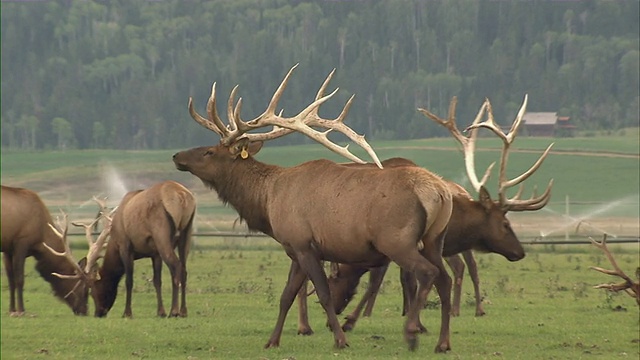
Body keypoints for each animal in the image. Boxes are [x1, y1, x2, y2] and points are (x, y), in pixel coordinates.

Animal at [0, 186, 102, 316]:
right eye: (85, 288)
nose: (85, 311)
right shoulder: (21, 242)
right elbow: (19, 279)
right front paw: (21, 311)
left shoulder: (8, 249)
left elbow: (10, 280)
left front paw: (12, 310)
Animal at [90, 180, 195, 318]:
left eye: (93, 290)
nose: (98, 313)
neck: (115, 243)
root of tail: (182, 196)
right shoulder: (155, 254)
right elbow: (157, 281)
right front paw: (160, 312)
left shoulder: (125, 246)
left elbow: (129, 281)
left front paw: (127, 313)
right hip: (187, 233)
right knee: (184, 269)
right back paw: (183, 311)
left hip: (161, 234)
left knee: (175, 266)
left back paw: (174, 311)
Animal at [172, 64, 456, 352]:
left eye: (209, 152)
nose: (176, 156)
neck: (268, 201)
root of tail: (440, 192)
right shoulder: (295, 249)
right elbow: (286, 295)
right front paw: (272, 341)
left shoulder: (304, 243)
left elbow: (323, 293)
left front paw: (340, 338)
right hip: (434, 239)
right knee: (445, 280)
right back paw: (443, 343)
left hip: (397, 239)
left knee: (427, 273)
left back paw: (411, 333)